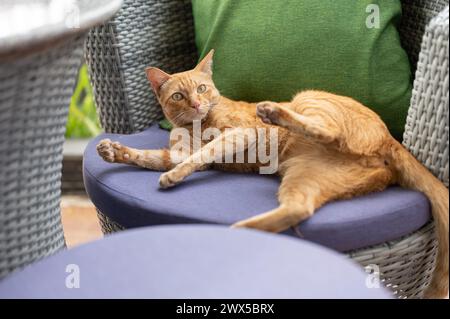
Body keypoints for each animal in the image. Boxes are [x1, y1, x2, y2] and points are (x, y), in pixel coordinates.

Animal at [98, 50, 450, 300]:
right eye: (178, 96)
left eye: (202, 88)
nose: (197, 103)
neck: (195, 125)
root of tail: (390, 139)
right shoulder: (176, 154)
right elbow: (150, 158)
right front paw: (113, 151)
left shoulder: (240, 134)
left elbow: (202, 154)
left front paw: (173, 176)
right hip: (304, 177)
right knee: (298, 208)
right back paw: (236, 233)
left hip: (309, 99)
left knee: (328, 131)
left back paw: (273, 111)